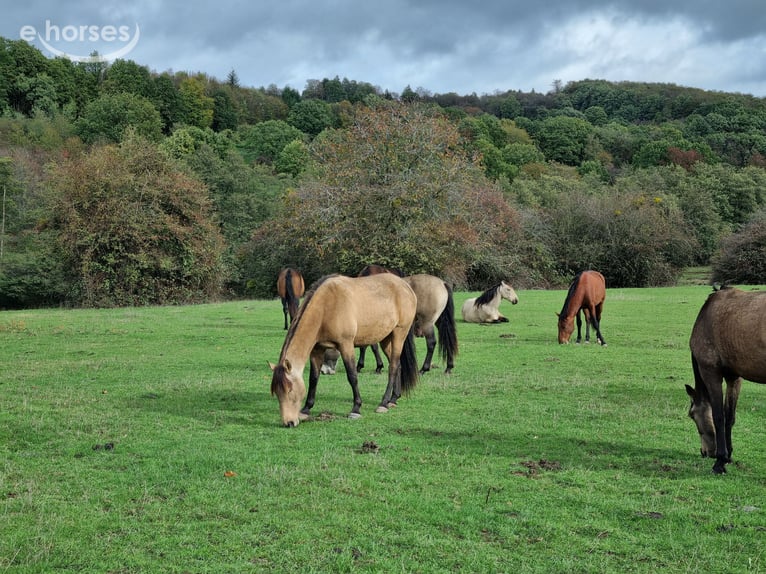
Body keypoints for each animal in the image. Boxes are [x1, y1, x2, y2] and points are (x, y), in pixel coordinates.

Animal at [269, 273, 419, 427]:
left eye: (290, 390)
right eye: (277, 393)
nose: (289, 422)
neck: (326, 306)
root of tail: (405, 286)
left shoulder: (346, 345)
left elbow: (352, 376)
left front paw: (356, 408)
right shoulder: (317, 350)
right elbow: (313, 378)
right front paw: (306, 409)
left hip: (399, 334)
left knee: (393, 367)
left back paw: (383, 403)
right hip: (385, 338)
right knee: (398, 365)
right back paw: (393, 399)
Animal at [686, 286, 766, 474]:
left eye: (692, 415)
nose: (705, 452)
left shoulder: (711, 373)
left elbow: (718, 416)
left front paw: (720, 461)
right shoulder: (734, 377)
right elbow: (729, 416)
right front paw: (728, 456)